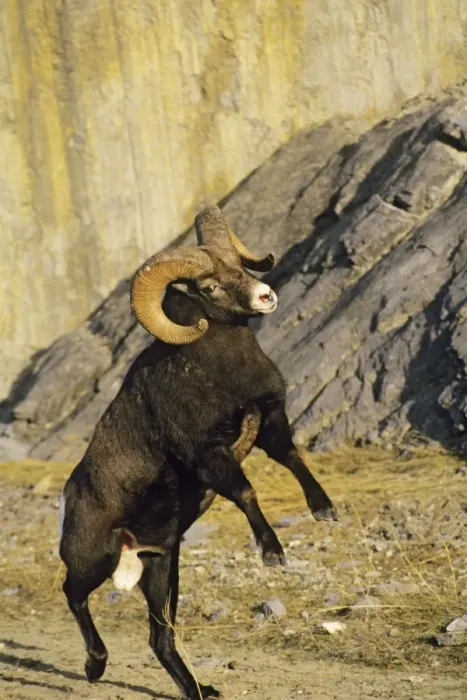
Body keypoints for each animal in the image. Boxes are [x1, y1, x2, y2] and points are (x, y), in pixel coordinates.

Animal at [59, 205, 337, 699]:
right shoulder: (208, 456)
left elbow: (291, 459)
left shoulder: (269, 422)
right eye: (208, 287)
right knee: (72, 593)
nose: (266, 296)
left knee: (160, 636)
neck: (222, 371)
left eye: (241, 267)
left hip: (160, 567)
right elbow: (245, 492)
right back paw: (95, 666)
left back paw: (198, 691)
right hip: (94, 559)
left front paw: (324, 510)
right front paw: (273, 553)